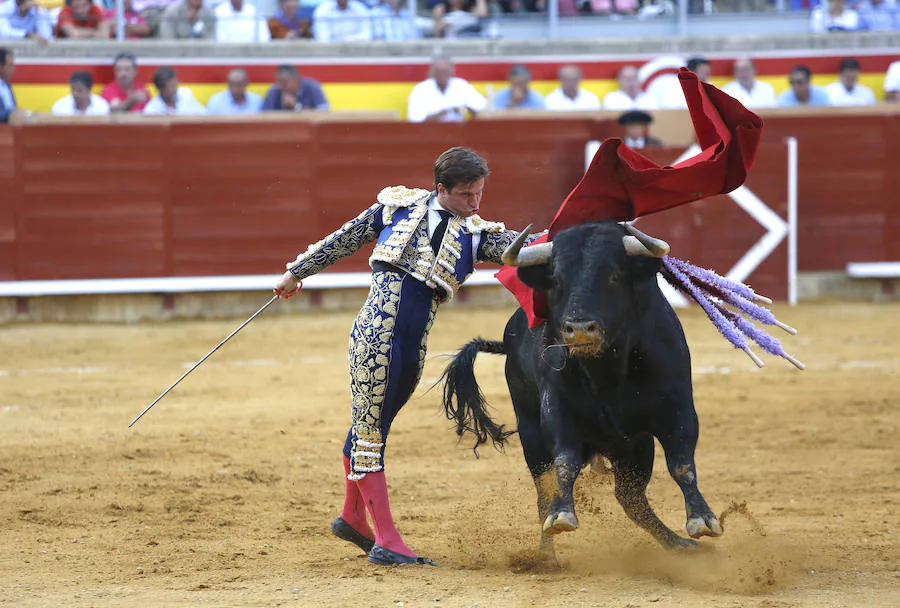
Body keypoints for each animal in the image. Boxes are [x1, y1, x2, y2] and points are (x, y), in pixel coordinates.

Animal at [442, 221, 724, 560]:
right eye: (556, 279)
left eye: (614, 275)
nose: (578, 330)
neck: (607, 369)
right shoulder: (558, 412)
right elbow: (565, 462)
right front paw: (562, 515)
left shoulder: (677, 406)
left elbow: (681, 462)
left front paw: (702, 519)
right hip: (530, 434)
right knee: (546, 492)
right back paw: (547, 555)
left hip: (635, 447)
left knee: (631, 499)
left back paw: (679, 543)